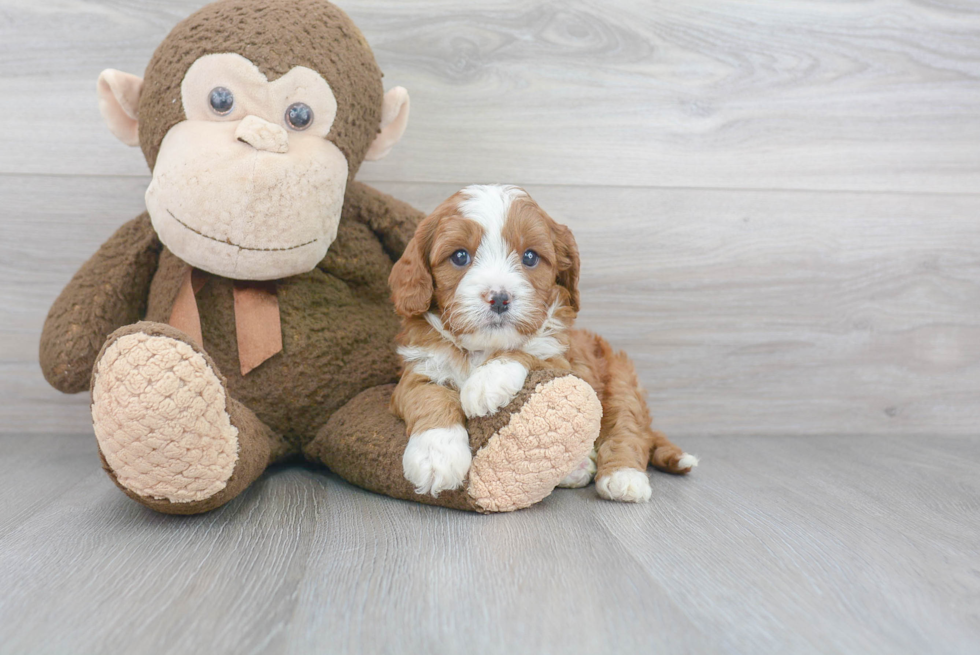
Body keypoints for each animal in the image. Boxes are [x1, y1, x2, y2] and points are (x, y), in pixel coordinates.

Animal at [386, 184, 692, 502]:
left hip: (620, 381)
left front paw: (486, 382)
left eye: (530, 257)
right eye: (459, 256)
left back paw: (624, 477)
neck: (482, 348)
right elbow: (427, 396)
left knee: (627, 428)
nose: (499, 298)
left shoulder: (561, 359)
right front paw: (436, 457)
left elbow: (529, 352)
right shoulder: (418, 369)